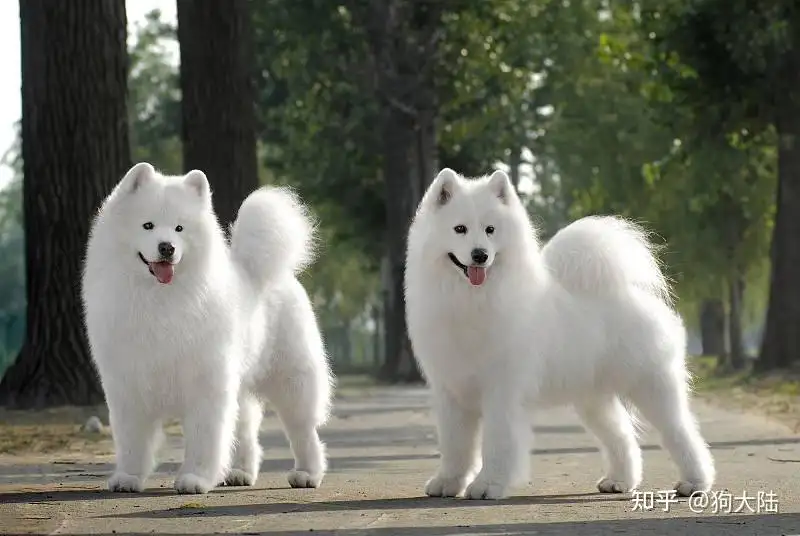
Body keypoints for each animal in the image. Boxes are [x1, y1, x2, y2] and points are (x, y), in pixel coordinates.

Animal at [81, 162, 332, 494]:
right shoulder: (128, 384)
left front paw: (196, 478)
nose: (167, 247)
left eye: (179, 228)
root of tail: (258, 269)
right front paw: (129, 477)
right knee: (246, 432)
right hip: (242, 386)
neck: (159, 298)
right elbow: (132, 440)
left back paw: (307, 473)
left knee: (303, 431)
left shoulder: (206, 383)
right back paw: (240, 472)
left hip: (292, 381)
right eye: (148, 225)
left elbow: (205, 438)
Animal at [406, 169, 712, 502]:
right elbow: (455, 446)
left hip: (651, 386)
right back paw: (620, 480)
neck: (471, 300)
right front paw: (448, 482)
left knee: (681, 432)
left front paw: (488, 485)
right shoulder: (451, 390)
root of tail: (632, 293)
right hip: (594, 398)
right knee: (621, 436)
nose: (480, 255)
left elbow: (497, 442)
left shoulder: (502, 390)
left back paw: (695, 483)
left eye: (490, 230)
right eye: (459, 229)